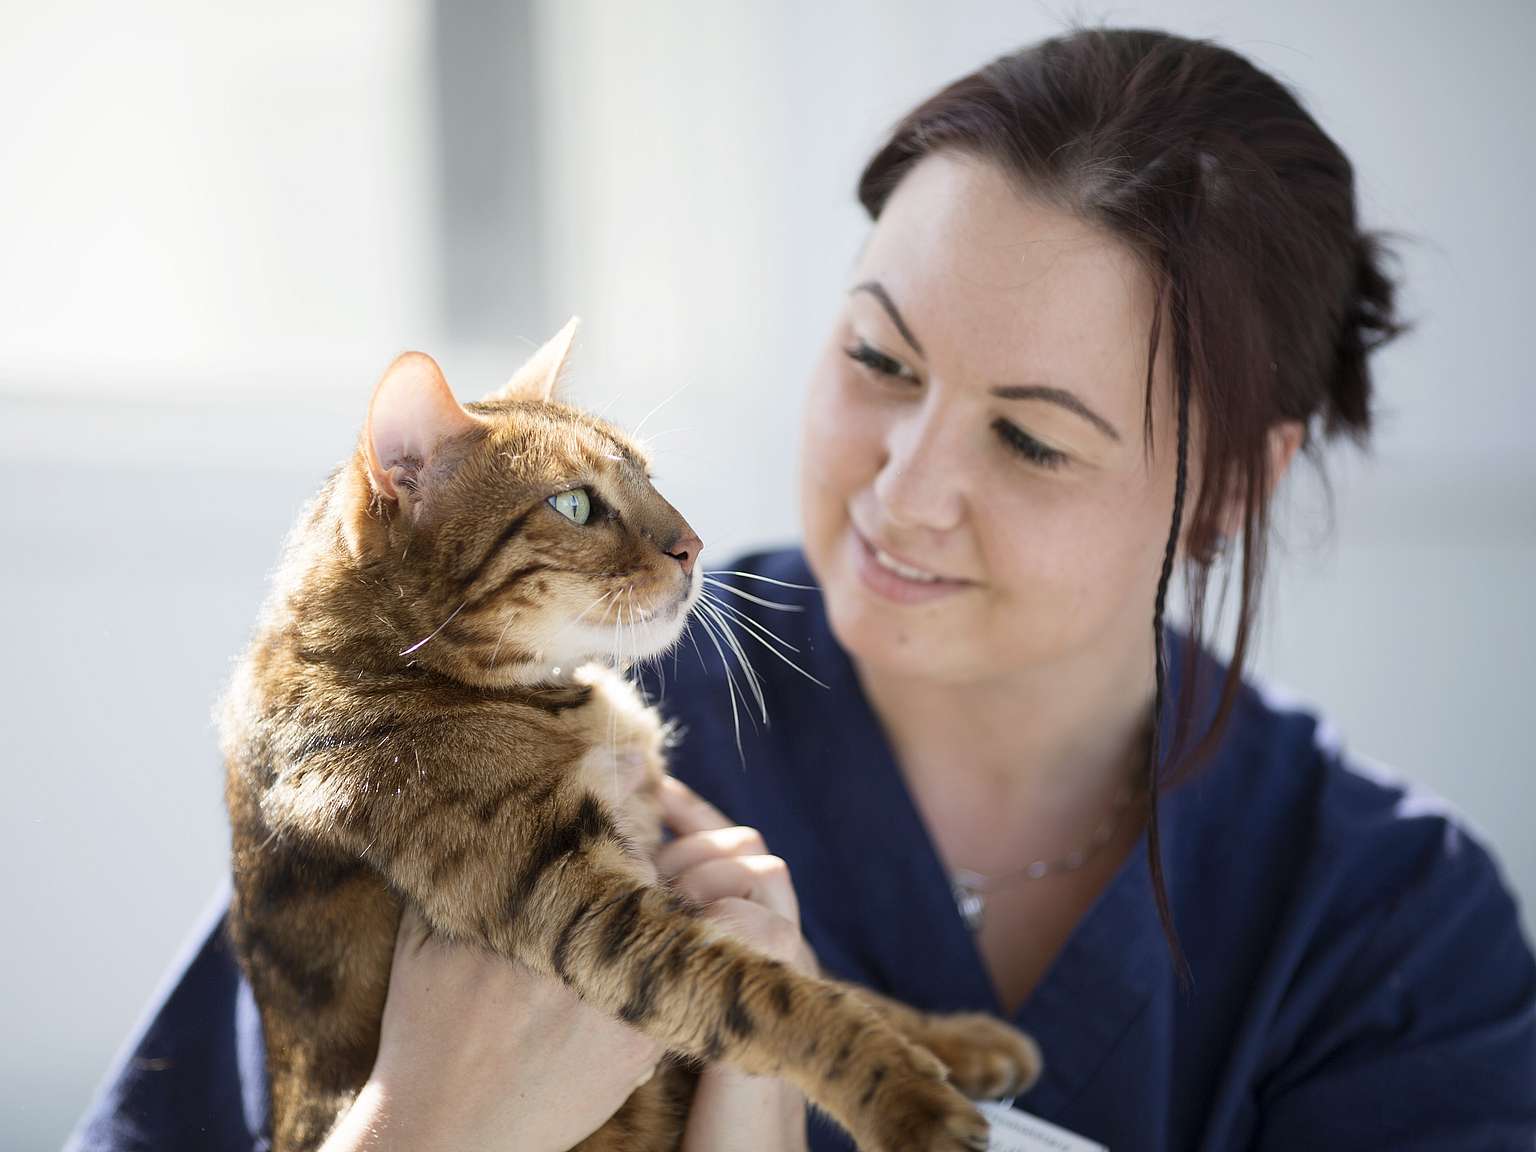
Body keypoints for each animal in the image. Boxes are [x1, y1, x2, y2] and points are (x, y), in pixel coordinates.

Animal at [219, 317, 1044, 1152]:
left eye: (650, 477)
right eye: (576, 506)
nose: (694, 545)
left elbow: (824, 971)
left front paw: (957, 1037)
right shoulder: (576, 901)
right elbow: (771, 995)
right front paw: (904, 1096)